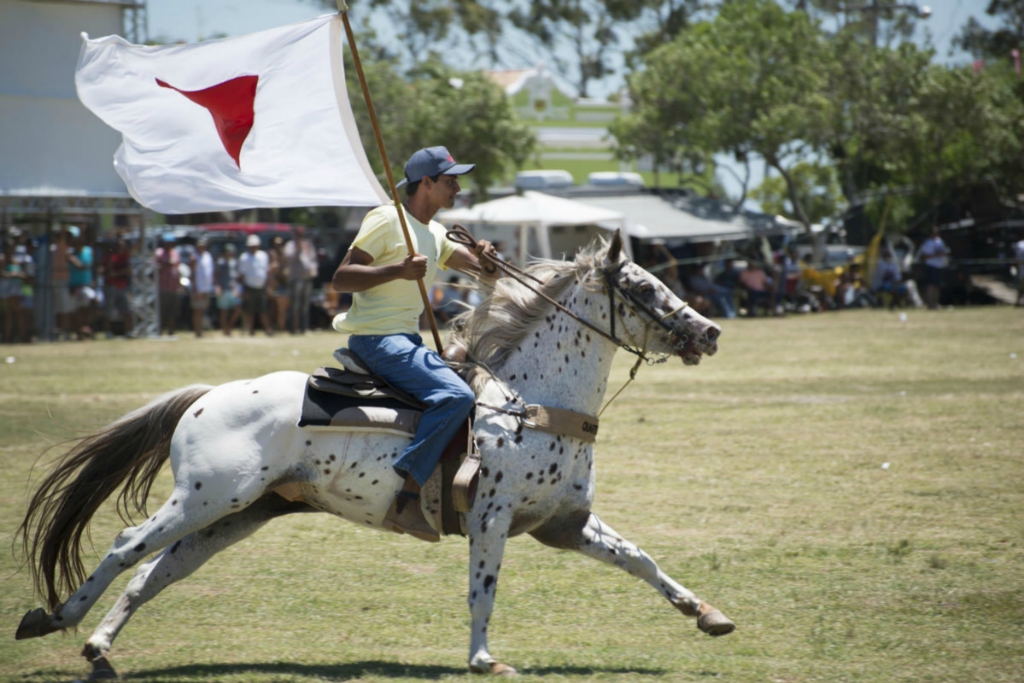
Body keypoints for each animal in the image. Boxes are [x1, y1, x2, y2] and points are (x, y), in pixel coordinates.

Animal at [18, 233, 737, 679]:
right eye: (643, 287)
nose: (710, 331)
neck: (529, 401)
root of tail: (203, 396)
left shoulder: (565, 522)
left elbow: (640, 559)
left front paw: (708, 614)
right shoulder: (492, 517)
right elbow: (483, 588)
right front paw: (484, 658)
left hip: (236, 514)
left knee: (155, 571)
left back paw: (99, 648)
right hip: (205, 498)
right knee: (125, 546)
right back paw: (54, 617)